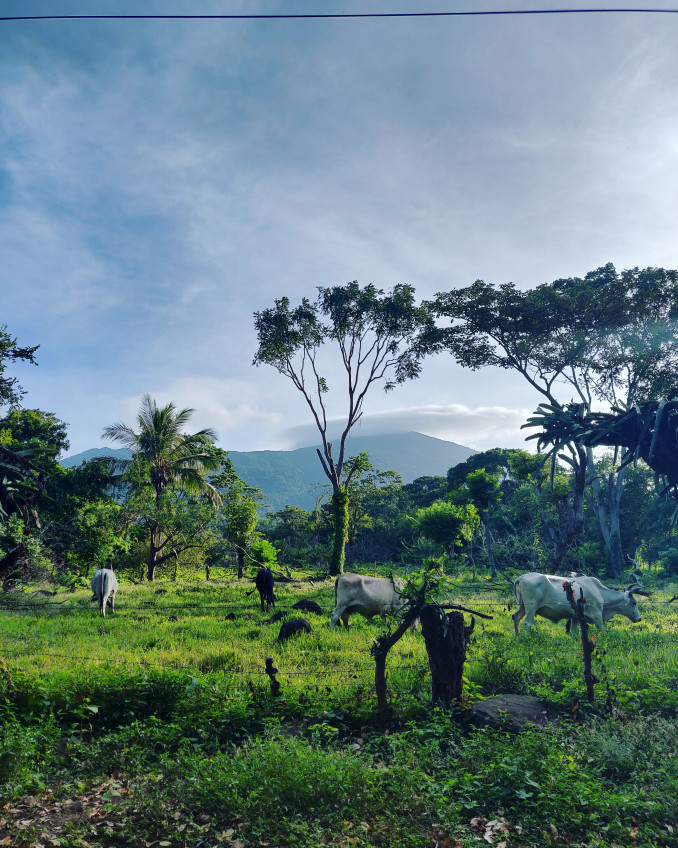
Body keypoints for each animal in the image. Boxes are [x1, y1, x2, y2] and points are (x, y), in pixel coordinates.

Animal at [512, 568, 644, 636]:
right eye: (634, 603)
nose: (639, 619)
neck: (599, 591)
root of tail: (521, 577)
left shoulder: (575, 617)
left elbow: (574, 632)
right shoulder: (597, 615)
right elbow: (602, 630)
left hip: (522, 607)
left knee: (516, 617)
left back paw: (518, 636)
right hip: (531, 608)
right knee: (527, 623)